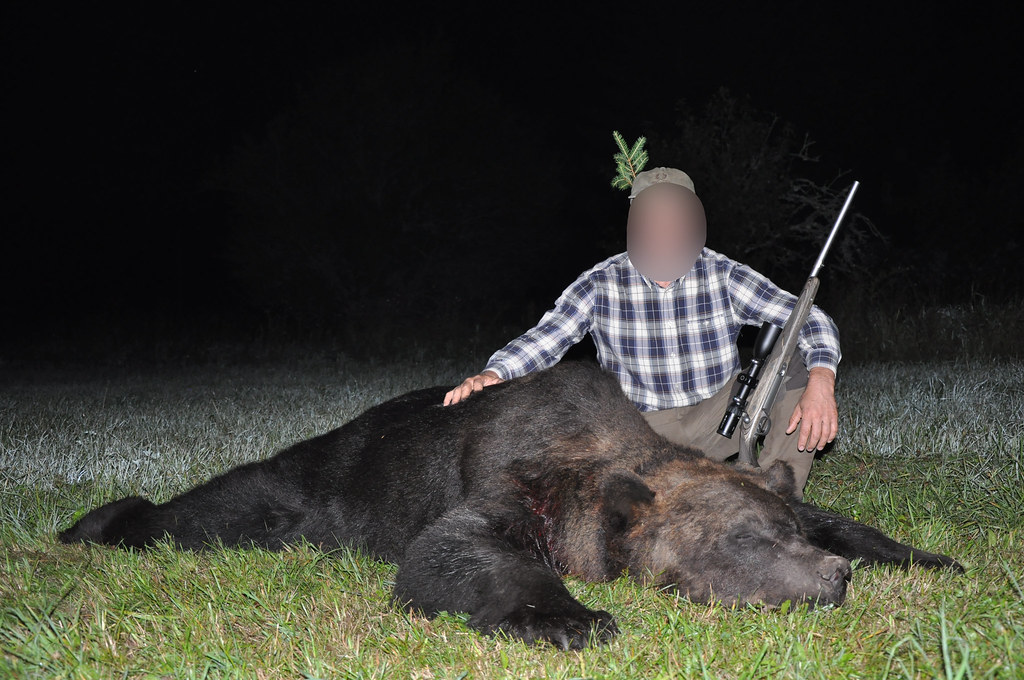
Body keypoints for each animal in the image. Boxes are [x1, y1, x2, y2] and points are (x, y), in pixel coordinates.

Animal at [59, 361, 962, 650]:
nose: (833, 577)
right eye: (743, 541)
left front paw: (929, 554)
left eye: (783, 529)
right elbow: (455, 549)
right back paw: (93, 524)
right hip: (306, 487)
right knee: (212, 511)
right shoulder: (509, 477)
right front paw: (572, 617)